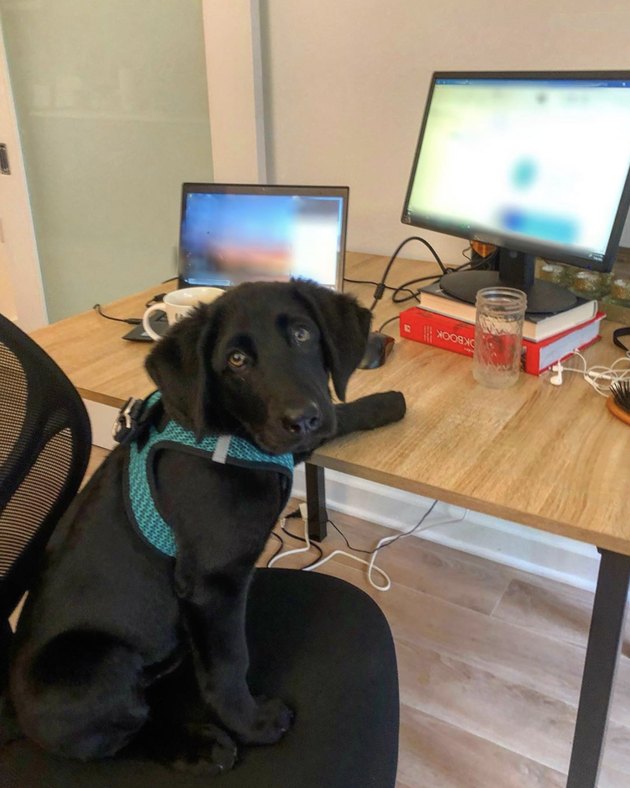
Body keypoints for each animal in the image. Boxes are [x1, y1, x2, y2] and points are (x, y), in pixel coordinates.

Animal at [7, 280, 408, 772]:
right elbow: (229, 666)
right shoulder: (212, 586)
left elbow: (338, 417)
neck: (225, 436)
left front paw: (385, 403)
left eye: (302, 335)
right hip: (97, 663)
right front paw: (253, 725)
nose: (302, 418)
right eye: (236, 361)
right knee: (117, 737)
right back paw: (198, 745)